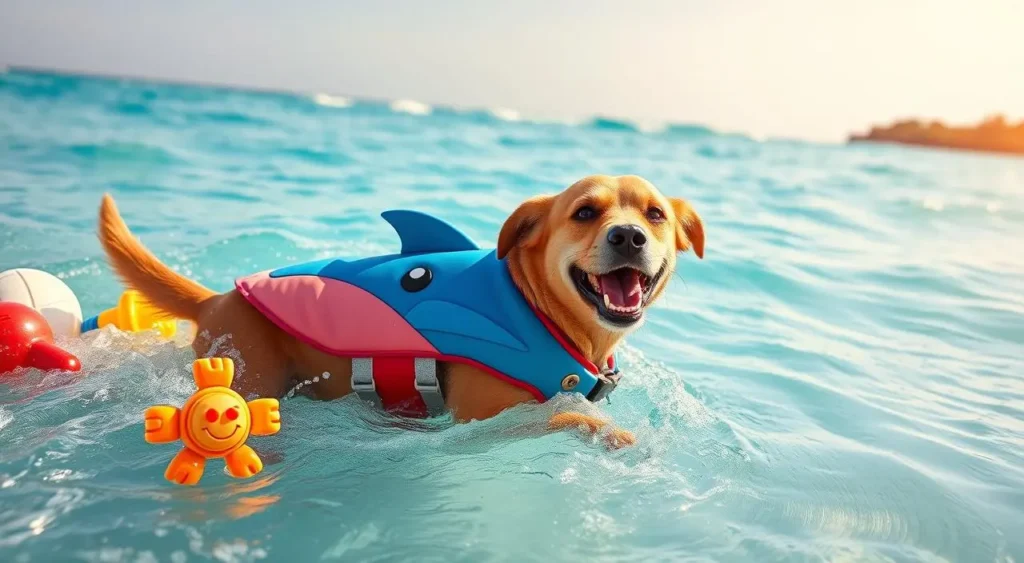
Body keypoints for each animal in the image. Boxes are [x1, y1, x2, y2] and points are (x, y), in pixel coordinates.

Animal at [97, 174, 704, 448]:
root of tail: (216, 298)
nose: (628, 236)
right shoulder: (483, 418)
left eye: (654, 214)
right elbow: (571, 416)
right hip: (251, 371)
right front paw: (626, 438)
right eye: (583, 212)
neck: (534, 309)